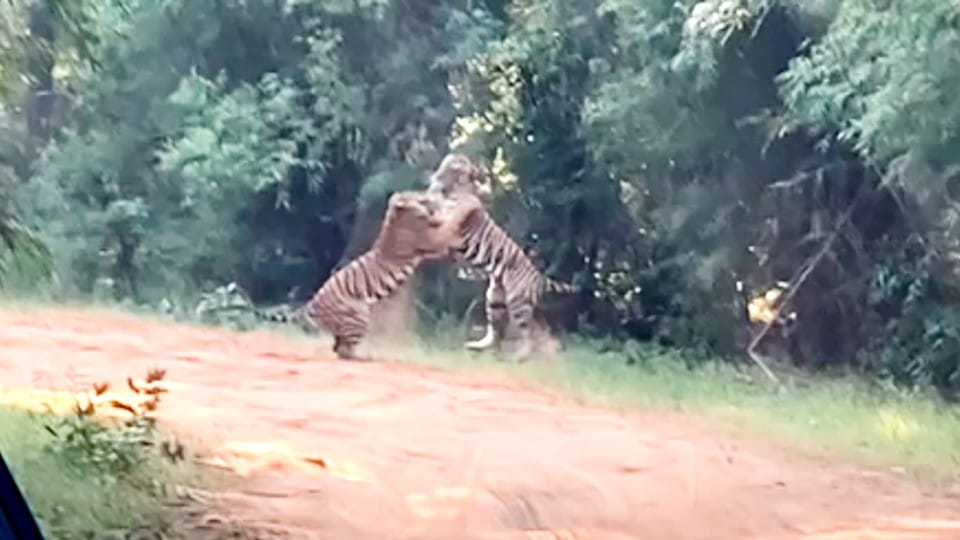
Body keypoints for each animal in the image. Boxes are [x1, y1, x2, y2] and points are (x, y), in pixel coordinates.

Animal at [257, 190, 457, 360]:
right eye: (420, 197)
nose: (428, 195)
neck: (395, 214)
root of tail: (311, 304)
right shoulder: (433, 241)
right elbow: (448, 224)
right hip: (359, 315)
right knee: (343, 351)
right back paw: (364, 357)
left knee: (337, 347)